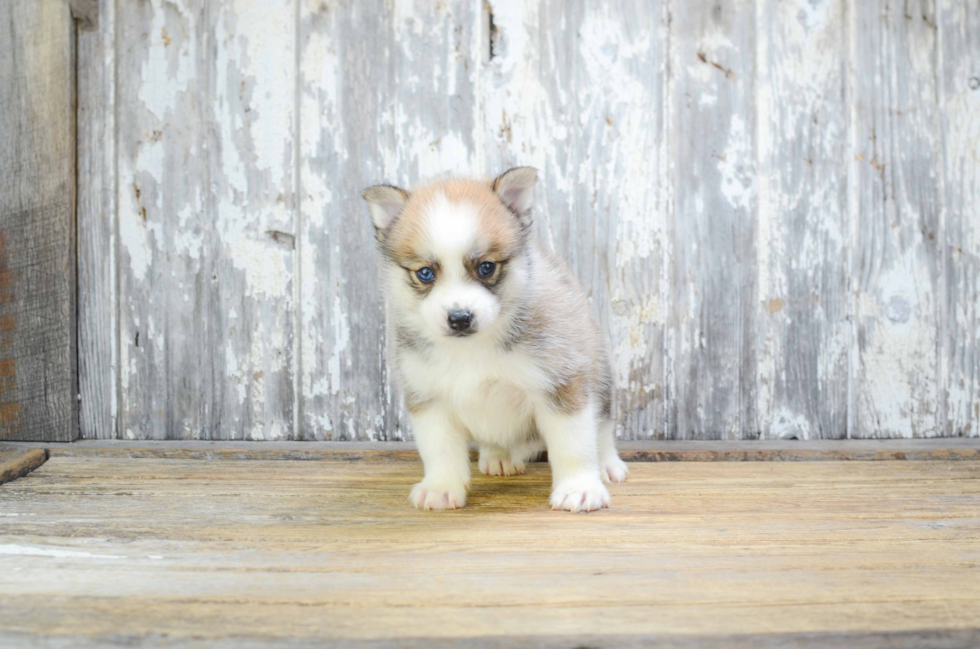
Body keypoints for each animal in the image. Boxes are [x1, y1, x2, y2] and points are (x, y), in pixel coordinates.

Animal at [366, 167, 628, 512]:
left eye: (486, 267)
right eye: (425, 273)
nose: (459, 318)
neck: (472, 348)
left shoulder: (560, 385)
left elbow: (573, 444)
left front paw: (579, 488)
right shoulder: (428, 397)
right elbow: (440, 449)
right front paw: (441, 487)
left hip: (600, 378)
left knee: (602, 430)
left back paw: (609, 464)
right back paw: (499, 457)